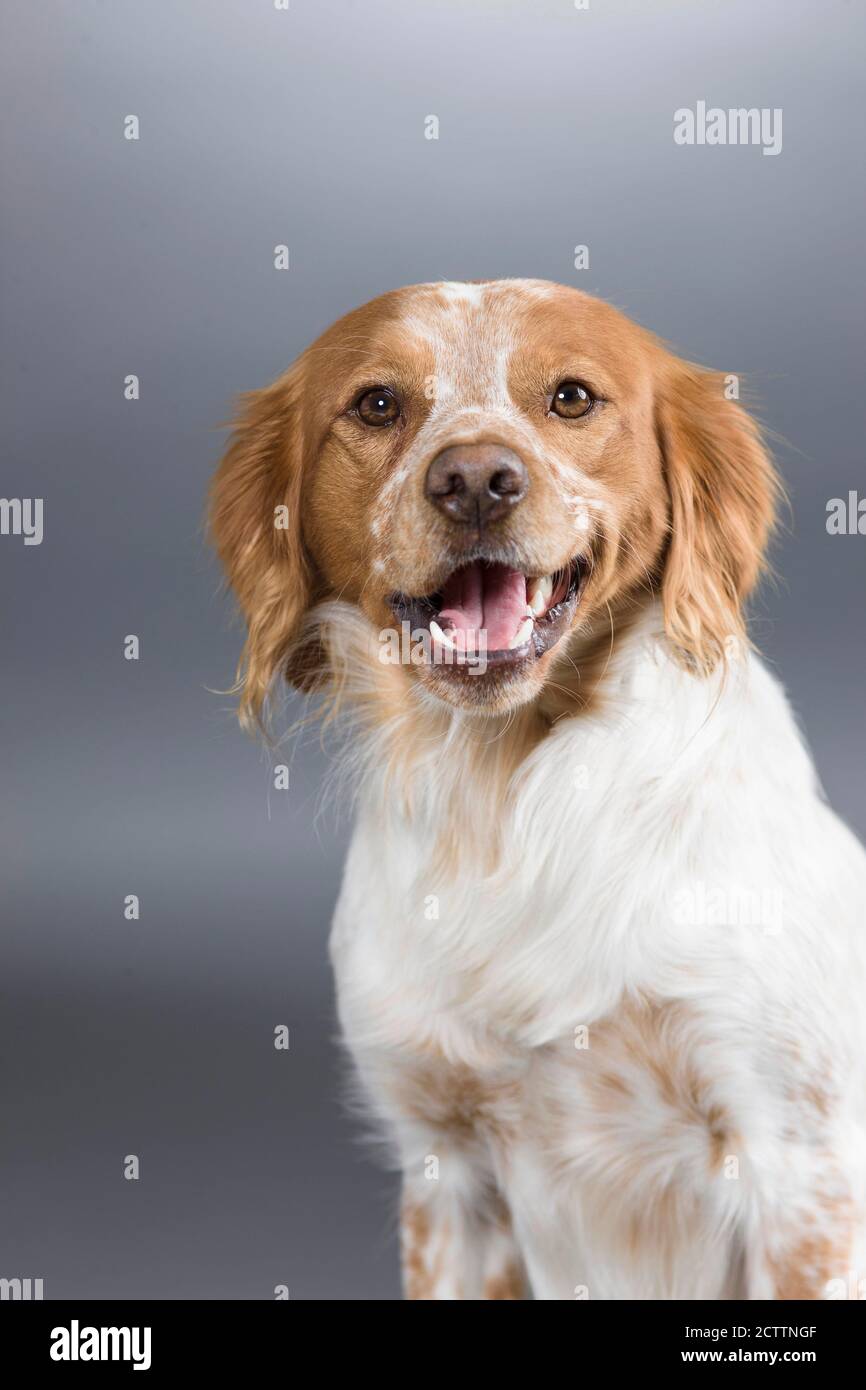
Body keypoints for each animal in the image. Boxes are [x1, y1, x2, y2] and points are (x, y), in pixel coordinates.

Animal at [209, 276, 866, 1295]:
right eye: (377, 404)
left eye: (572, 398)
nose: (476, 479)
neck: (505, 792)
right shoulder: (445, 1168)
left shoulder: (802, 1166)